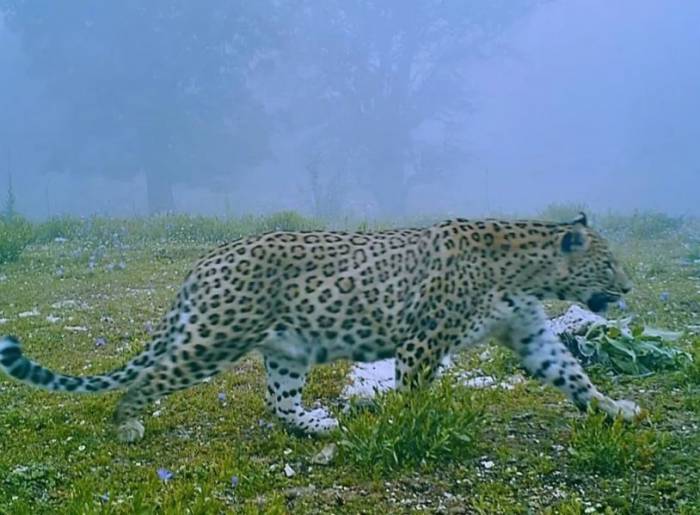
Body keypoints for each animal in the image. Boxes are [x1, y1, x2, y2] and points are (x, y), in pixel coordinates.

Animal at [0, 214, 640, 444]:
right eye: (609, 264)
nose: (630, 288)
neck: (529, 270)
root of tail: (205, 260)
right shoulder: (422, 341)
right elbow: (416, 392)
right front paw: (414, 427)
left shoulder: (530, 334)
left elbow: (573, 375)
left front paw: (614, 409)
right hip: (214, 336)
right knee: (149, 377)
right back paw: (128, 424)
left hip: (287, 349)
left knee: (278, 402)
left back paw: (317, 424)